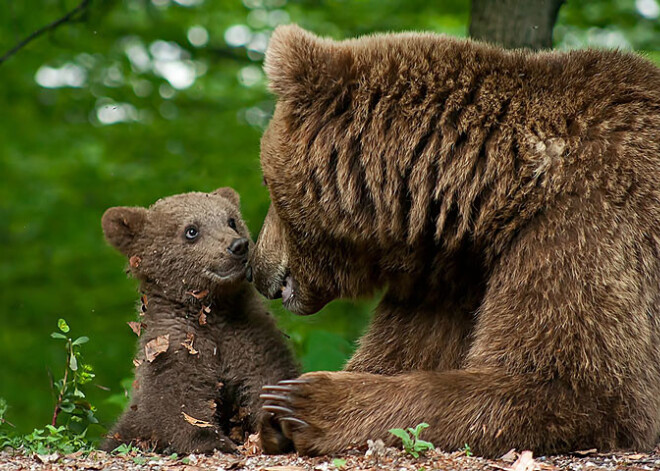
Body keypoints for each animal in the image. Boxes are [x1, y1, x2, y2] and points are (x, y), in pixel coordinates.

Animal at [250, 24, 660, 458]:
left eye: (265, 183)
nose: (257, 268)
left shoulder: (585, 225)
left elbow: (579, 388)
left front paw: (303, 402)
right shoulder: (452, 278)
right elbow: (402, 352)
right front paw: (274, 415)